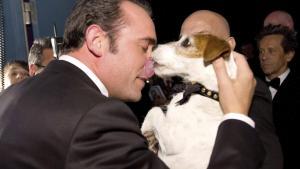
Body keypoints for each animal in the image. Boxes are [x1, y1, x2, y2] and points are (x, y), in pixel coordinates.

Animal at [141, 33, 237, 169]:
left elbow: (154, 111)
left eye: (186, 42)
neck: (203, 90)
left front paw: (145, 131)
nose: (153, 46)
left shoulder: (173, 142)